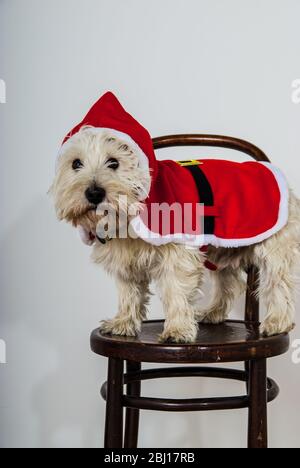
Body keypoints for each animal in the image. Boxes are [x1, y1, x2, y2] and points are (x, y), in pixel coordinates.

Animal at [50, 94, 298, 344]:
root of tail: (271, 170)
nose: (94, 193)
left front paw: (177, 330)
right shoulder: (125, 259)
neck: (133, 208)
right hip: (225, 247)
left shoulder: (178, 253)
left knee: (277, 281)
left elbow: (176, 290)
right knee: (228, 281)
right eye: (76, 164)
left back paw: (277, 322)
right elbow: (129, 292)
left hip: (273, 245)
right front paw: (123, 323)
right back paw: (213, 312)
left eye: (114, 162)